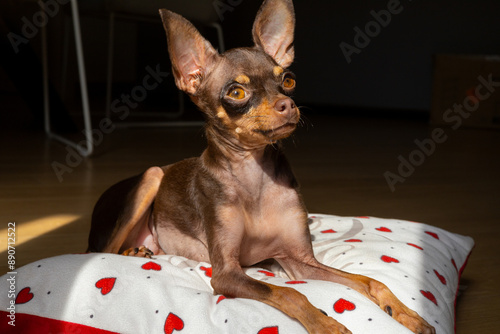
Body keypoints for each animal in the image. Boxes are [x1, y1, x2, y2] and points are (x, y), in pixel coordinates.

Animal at [88, 1, 436, 332]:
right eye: (236, 92)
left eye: (288, 80)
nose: (288, 105)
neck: (254, 175)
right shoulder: (226, 274)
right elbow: (289, 293)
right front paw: (326, 324)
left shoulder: (299, 260)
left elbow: (370, 282)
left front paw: (407, 314)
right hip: (151, 177)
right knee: (98, 252)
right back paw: (130, 252)